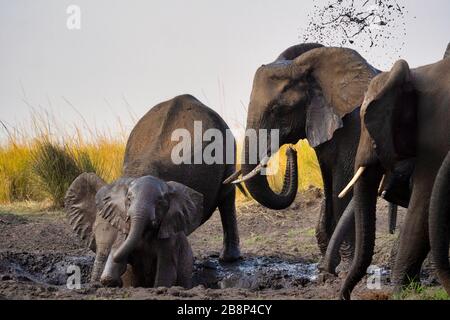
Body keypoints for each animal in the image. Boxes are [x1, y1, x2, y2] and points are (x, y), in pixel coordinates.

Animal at [338, 43, 450, 298]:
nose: (344, 295)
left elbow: (424, 200)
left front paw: (402, 290)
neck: (418, 72)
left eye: (369, 127)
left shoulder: (436, 131)